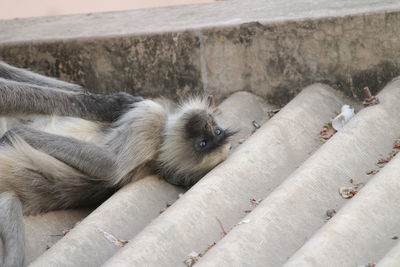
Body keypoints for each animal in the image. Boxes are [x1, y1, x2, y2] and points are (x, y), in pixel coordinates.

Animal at [0, 61, 233, 267]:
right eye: (214, 132)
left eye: (202, 144)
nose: (205, 124)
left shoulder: (149, 122)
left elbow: (110, 166)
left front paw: (18, 133)